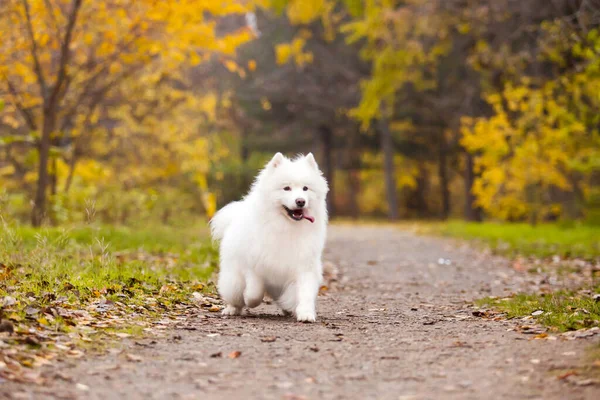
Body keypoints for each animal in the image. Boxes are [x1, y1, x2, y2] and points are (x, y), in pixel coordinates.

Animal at [210, 152, 328, 322]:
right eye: (286, 188)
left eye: (305, 188)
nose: (300, 201)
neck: (285, 227)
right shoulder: (253, 266)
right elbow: (254, 293)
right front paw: (250, 300)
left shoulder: (305, 265)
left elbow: (305, 292)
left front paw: (306, 314)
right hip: (233, 282)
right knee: (235, 297)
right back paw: (231, 309)